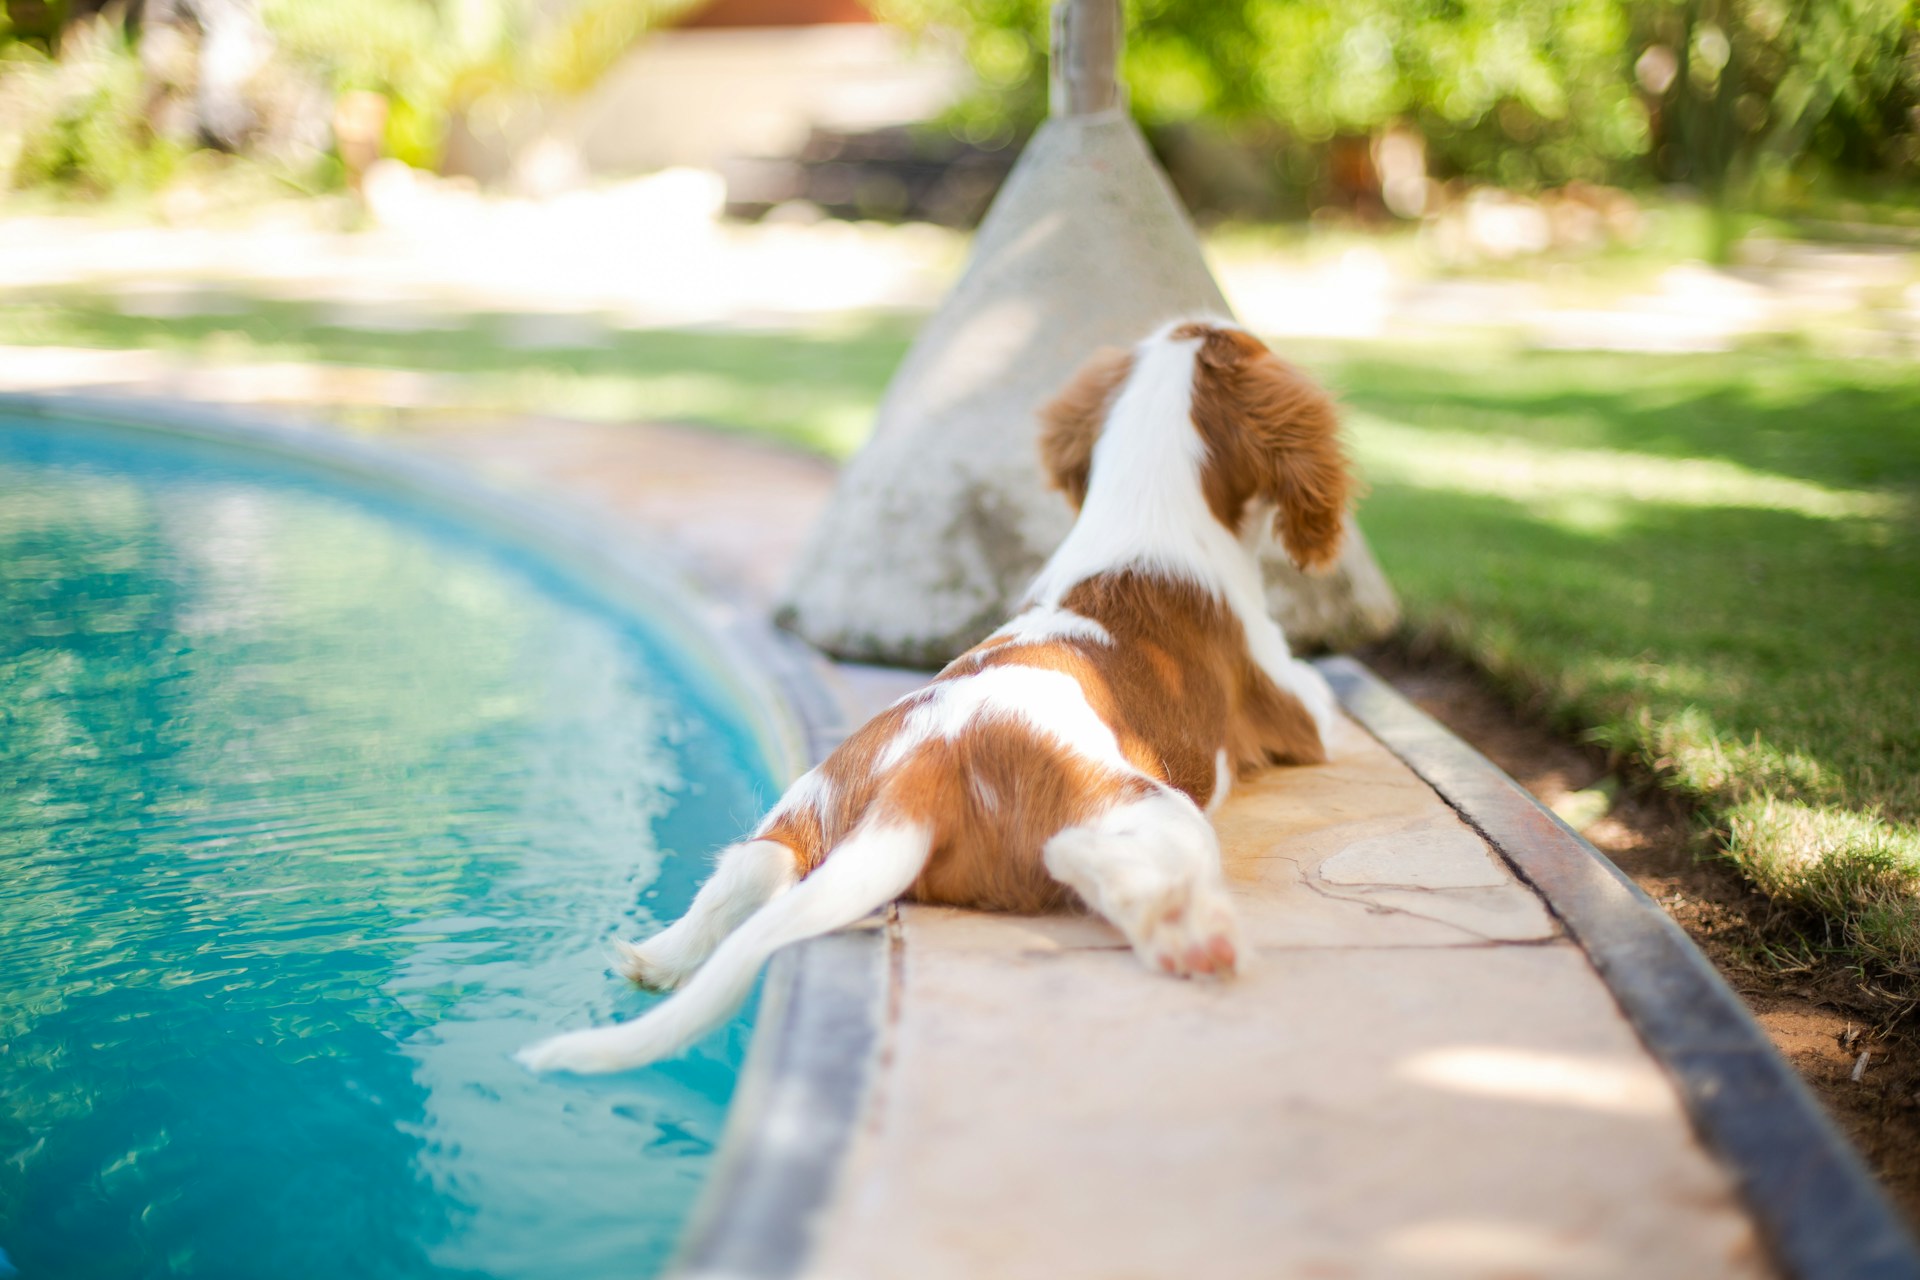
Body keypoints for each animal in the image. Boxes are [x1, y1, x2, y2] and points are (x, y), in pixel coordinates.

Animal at [510, 318, 1351, 1074]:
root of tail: (920, 777)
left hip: (805, 805)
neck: (1142, 513)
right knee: (1096, 860)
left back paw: (657, 956)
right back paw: (1191, 937)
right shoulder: (1296, 705)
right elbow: (1322, 696)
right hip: (1145, 804)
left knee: (749, 870)